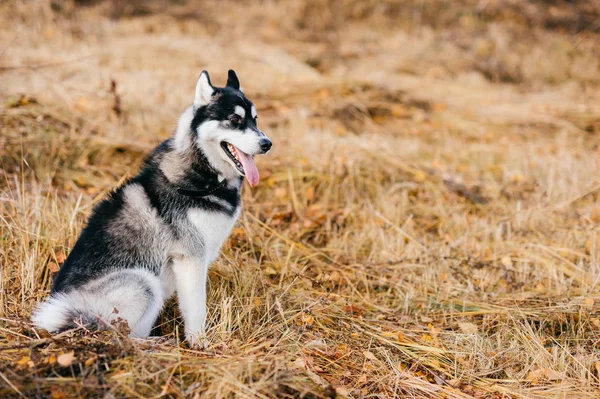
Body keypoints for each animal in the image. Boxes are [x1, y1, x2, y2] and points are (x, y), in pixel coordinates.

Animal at [32, 69, 272, 346]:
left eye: (255, 119)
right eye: (234, 119)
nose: (267, 143)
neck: (204, 175)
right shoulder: (190, 258)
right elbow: (196, 308)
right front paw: (199, 342)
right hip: (143, 282)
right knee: (119, 335)